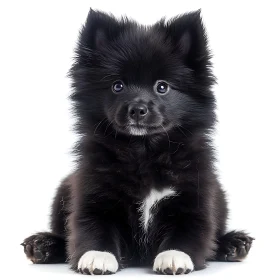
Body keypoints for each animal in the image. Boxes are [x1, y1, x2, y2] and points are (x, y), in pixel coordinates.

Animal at [22, 9, 254, 276]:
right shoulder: (94, 193)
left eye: (162, 87)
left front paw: (174, 256)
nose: (137, 109)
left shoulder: (194, 198)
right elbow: (92, 226)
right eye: (117, 86)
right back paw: (42, 245)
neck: (142, 152)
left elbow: (189, 233)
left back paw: (234, 244)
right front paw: (97, 256)